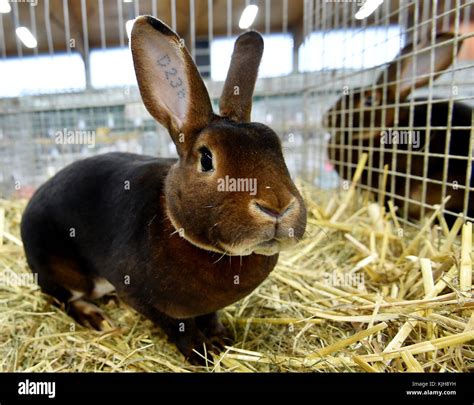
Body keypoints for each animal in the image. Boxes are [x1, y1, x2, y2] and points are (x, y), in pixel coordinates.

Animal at [20, 15, 306, 362]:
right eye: (206, 158)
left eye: (277, 147)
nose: (277, 207)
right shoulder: (147, 301)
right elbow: (179, 329)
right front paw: (202, 354)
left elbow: (209, 317)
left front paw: (221, 340)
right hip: (60, 270)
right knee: (64, 299)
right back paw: (96, 318)